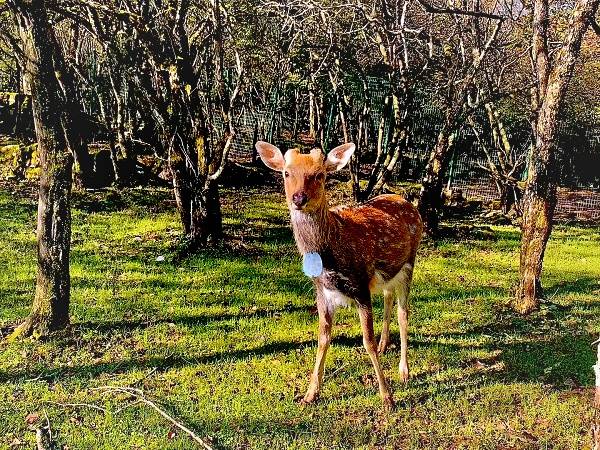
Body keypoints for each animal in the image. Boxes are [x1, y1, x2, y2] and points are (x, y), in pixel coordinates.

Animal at [256, 141, 422, 408]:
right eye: (286, 173)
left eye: (320, 175)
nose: (298, 198)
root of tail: (406, 201)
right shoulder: (321, 291)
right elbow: (323, 338)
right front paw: (310, 394)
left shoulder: (361, 286)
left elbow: (367, 341)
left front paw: (387, 397)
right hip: (388, 274)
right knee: (388, 296)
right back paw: (386, 345)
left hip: (410, 263)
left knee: (403, 313)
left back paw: (404, 371)